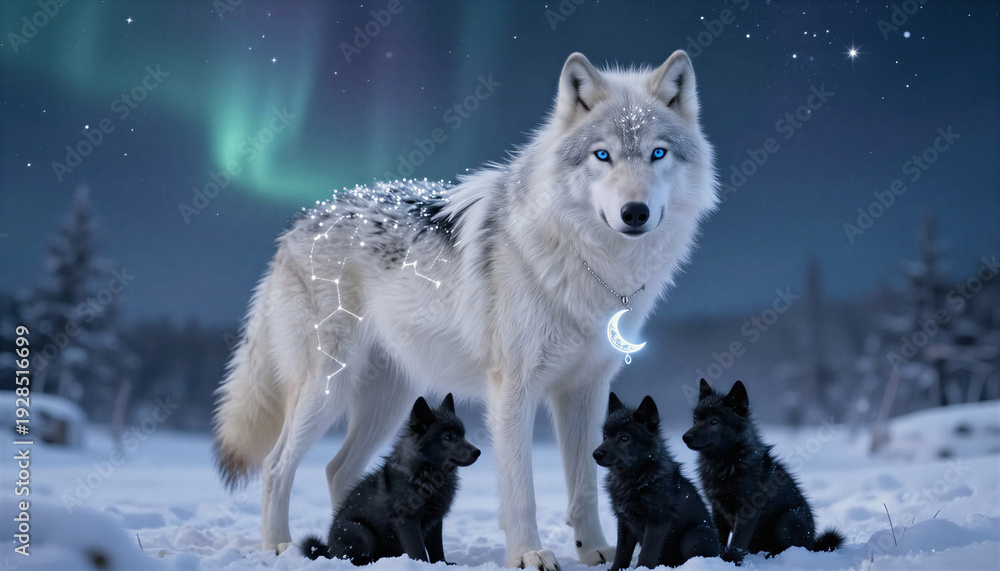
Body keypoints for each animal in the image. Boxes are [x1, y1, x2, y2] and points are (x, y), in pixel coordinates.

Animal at [300, 394, 479, 564]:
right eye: (447, 437)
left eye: (463, 435)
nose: (477, 452)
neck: (424, 474)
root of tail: (328, 550)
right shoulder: (406, 521)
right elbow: (418, 551)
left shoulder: (435, 521)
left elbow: (437, 550)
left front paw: (443, 564)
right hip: (361, 532)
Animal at [593, 393, 720, 569]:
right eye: (605, 436)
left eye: (624, 438)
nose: (595, 454)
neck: (635, 480)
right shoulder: (624, 523)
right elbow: (621, 555)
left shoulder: (657, 522)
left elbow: (647, 554)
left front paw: (641, 569)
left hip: (694, 536)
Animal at [682, 380, 845, 562]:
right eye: (695, 419)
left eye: (714, 421)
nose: (685, 437)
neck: (725, 464)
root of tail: (814, 543)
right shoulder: (717, 509)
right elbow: (721, 538)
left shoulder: (748, 510)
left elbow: (737, 542)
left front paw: (731, 561)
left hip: (789, 520)